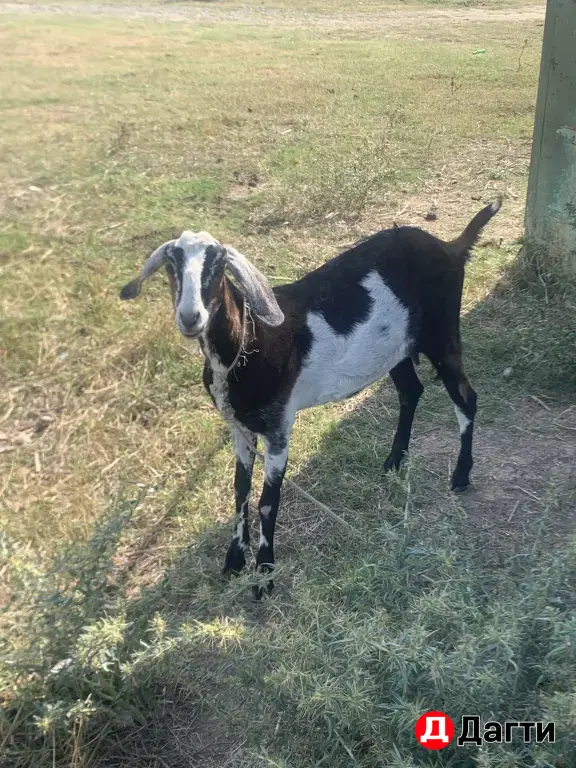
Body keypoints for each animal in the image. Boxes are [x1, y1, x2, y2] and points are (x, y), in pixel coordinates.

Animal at [120, 199, 501, 598]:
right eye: (171, 264)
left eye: (219, 263)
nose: (191, 317)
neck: (249, 342)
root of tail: (451, 247)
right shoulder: (239, 428)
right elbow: (240, 490)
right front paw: (234, 560)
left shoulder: (278, 430)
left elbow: (266, 502)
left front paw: (265, 574)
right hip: (394, 350)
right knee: (411, 391)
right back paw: (394, 460)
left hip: (442, 334)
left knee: (466, 397)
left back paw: (460, 475)